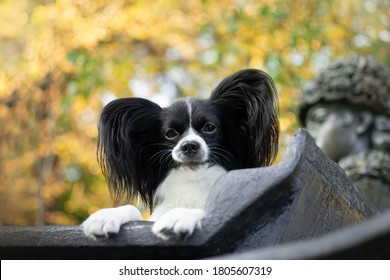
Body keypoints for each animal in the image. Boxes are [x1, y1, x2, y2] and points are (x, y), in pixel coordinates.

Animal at [82, 69, 278, 240]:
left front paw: (180, 216)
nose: (189, 146)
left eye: (209, 127)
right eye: (170, 133)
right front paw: (106, 216)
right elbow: (132, 208)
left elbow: (205, 210)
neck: (193, 181)